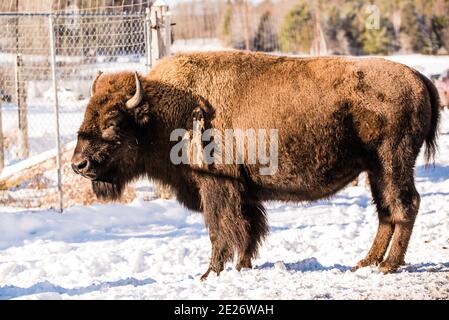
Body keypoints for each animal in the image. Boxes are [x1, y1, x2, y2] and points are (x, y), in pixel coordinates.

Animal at [72, 51, 440, 278]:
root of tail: (418, 77)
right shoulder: (243, 191)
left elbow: (221, 229)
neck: (169, 108)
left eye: (113, 121)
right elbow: (248, 228)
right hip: (376, 170)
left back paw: (388, 266)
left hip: (392, 162)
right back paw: (365, 262)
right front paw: (242, 266)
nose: (79, 164)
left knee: (405, 205)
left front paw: (210, 273)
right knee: (386, 212)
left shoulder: (216, 187)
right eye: (88, 112)